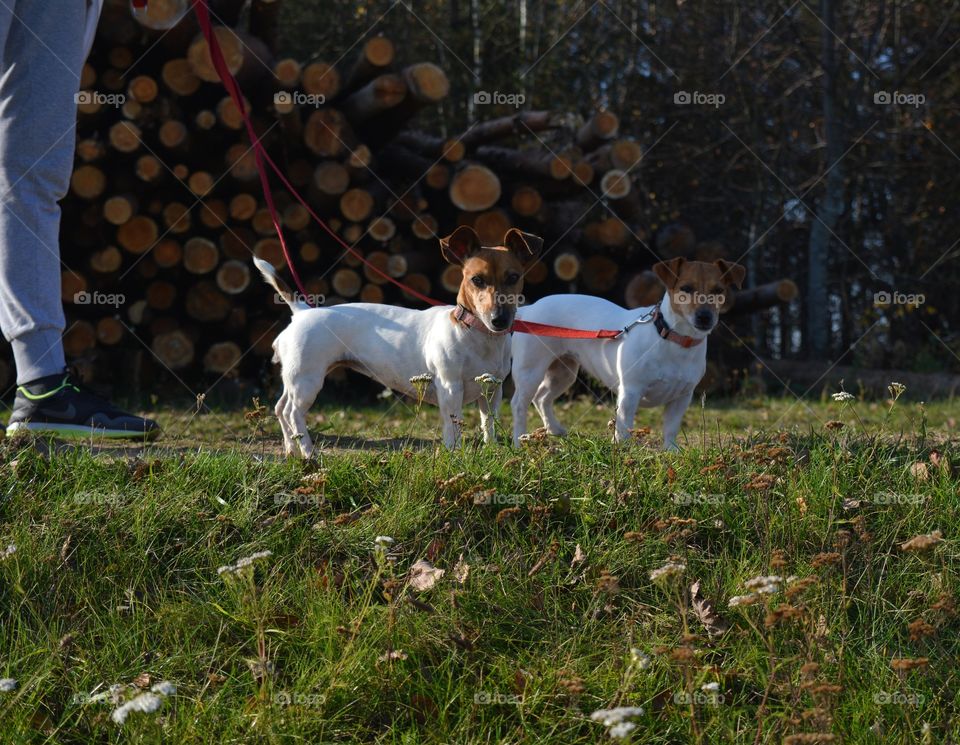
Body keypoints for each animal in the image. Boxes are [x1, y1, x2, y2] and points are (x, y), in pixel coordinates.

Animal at [255, 224, 540, 454]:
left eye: (513, 277)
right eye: (476, 280)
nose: (499, 320)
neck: (474, 332)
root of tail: (302, 311)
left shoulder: (492, 389)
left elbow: (488, 424)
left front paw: (491, 449)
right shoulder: (450, 388)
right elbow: (453, 427)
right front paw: (455, 454)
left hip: (295, 378)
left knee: (280, 408)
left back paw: (291, 449)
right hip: (307, 380)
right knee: (293, 412)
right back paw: (307, 451)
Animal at [512, 258, 748, 448]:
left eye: (718, 291)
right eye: (686, 288)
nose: (705, 317)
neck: (673, 339)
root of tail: (528, 310)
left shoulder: (682, 396)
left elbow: (671, 428)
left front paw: (671, 451)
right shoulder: (630, 392)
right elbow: (624, 427)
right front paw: (623, 451)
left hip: (563, 372)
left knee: (542, 397)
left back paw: (554, 430)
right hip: (530, 370)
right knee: (519, 404)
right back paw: (518, 441)